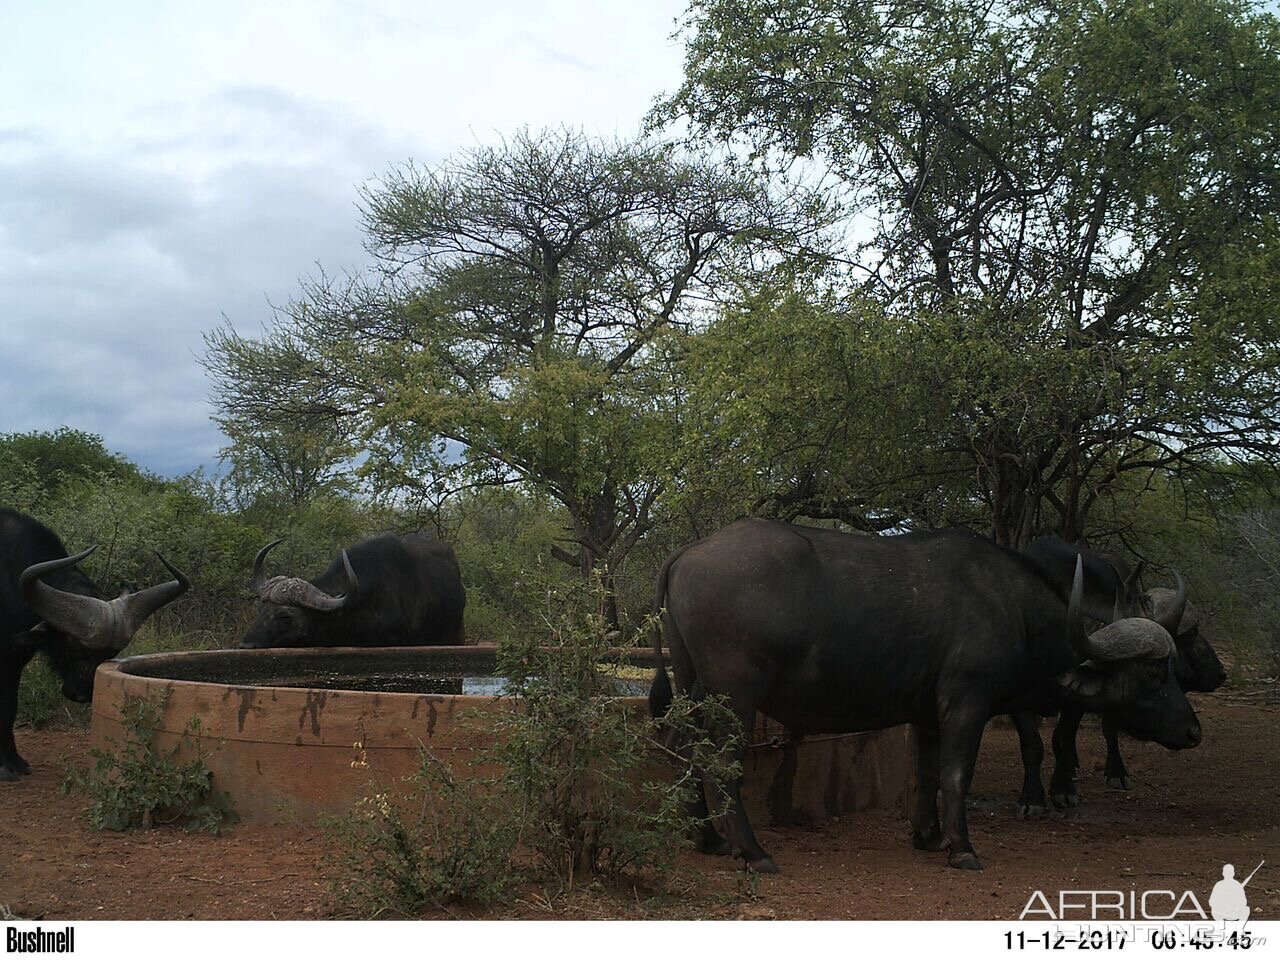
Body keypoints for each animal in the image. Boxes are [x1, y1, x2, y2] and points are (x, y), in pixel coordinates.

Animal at [1, 506, 189, 783]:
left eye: (111, 653)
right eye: (73, 646)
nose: (80, 694)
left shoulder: (15, 658)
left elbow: (10, 708)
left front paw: (16, 762)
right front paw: (5, 767)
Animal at [650, 522, 1198, 875]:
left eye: (1173, 669)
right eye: (1154, 672)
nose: (1193, 730)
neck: (1013, 610)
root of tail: (689, 552)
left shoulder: (928, 715)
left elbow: (929, 771)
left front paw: (929, 836)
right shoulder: (967, 704)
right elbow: (956, 775)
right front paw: (962, 848)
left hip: (695, 684)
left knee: (681, 745)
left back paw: (709, 839)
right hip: (734, 694)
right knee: (717, 761)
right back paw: (754, 852)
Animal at [1008, 537, 1228, 814]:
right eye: (1190, 634)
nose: (1221, 673)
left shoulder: (1076, 699)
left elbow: (1063, 738)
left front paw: (1062, 789)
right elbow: (1032, 744)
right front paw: (1032, 798)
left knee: (1108, 731)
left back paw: (1113, 772)